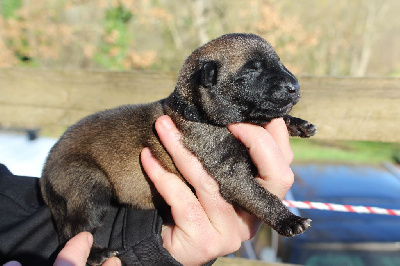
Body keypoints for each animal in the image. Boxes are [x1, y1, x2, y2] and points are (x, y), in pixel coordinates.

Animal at [39, 33, 316, 264]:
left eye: (278, 63)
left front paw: (298, 124)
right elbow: (261, 196)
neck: (198, 113)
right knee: (73, 231)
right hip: (89, 187)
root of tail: (46, 169)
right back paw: (96, 254)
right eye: (251, 70)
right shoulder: (231, 174)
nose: (295, 87)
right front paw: (288, 220)